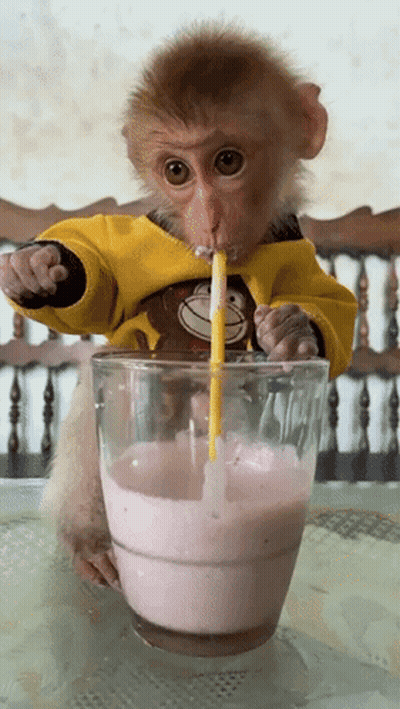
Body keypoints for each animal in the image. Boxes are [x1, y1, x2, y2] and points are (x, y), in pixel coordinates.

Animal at [0, 21, 357, 590]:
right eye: (176, 171)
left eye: (228, 161)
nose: (210, 221)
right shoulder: (146, 232)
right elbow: (99, 282)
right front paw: (37, 269)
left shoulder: (299, 251)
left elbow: (334, 307)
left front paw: (294, 331)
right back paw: (89, 539)